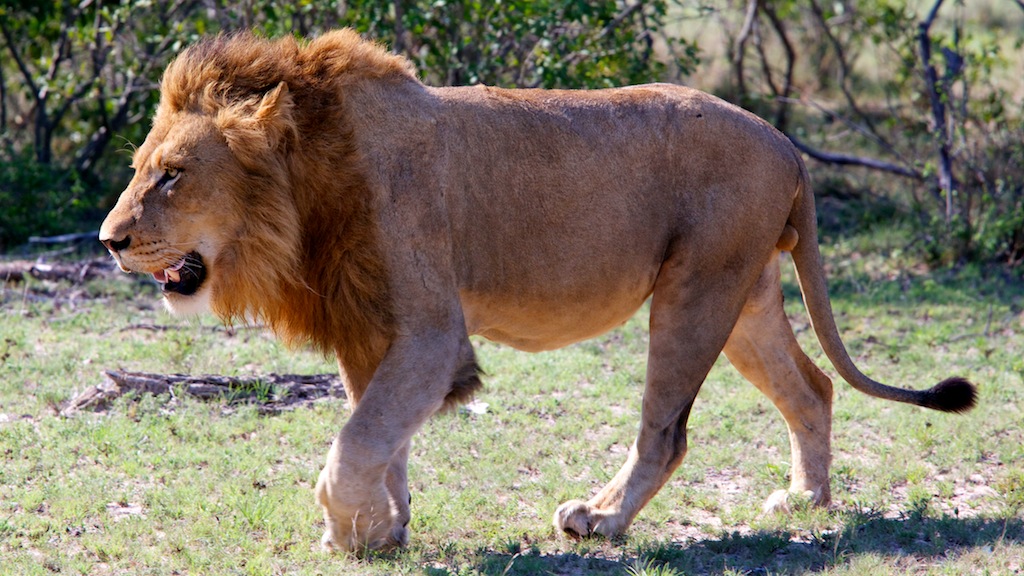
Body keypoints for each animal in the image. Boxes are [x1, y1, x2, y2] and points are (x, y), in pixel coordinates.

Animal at [99, 30, 977, 552]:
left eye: (172, 175)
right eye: (142, 165)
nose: (109, 240)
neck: (302, 194)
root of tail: (788, 143)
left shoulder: (431, 334)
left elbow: (356, 441)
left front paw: (350, 531)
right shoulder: (370, 327)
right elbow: (379, 435)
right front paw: (386, 527)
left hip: (697, 291)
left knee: (667, 432)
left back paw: (601, 518)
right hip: (747, 296)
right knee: (814, 388)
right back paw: (805, 502)